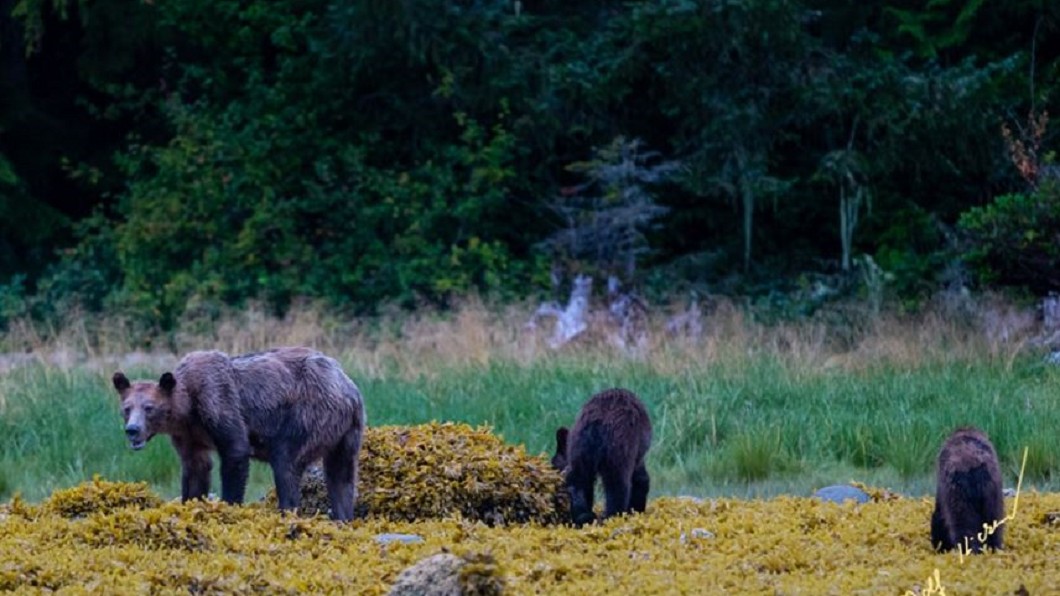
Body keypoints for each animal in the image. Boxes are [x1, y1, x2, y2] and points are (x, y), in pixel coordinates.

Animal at [112, 346, 366, 521]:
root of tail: (348, 388)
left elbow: (235, 451)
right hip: (346, 433)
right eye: (127, 408)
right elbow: (196, 467)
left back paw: (287, 511)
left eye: (149, 407)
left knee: (286, 463)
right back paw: (343, 516)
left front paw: (228, 505)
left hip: (307, 415)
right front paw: (190, 502)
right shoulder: (189, 435)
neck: (187, 409)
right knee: (341, 475)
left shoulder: (218, 402)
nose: (132, 430)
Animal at [551, 387, 652, 526]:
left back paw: (584, 516)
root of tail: (597, 423)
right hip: (617, 448)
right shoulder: (637, 454)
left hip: (582, 445)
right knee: (617, 485)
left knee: (578, 480)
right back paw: (613, 516)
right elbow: (641, 479)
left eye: (553, 465)